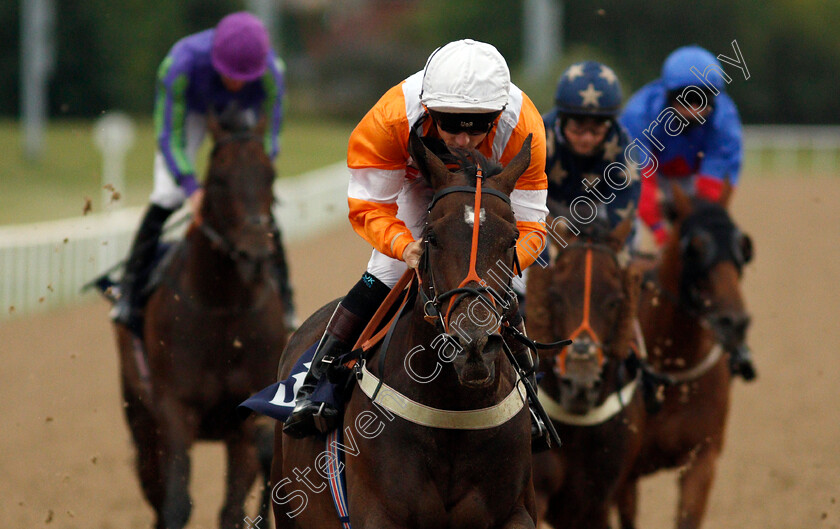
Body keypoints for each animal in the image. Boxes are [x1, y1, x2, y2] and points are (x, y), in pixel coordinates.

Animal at [113, 115, 288, 528]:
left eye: (270, 175)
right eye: (219, 178)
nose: (256, 254)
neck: (223, 308)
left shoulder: (245, 416)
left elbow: (236, 502)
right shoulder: (175, 409)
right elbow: (177, 504)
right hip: (141, 421)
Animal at [276, 132, 540, 528]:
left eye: (512, 239)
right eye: (432, 236)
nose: (474, 345)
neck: (453, 411)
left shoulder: (516, 511)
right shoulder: (380, 512)